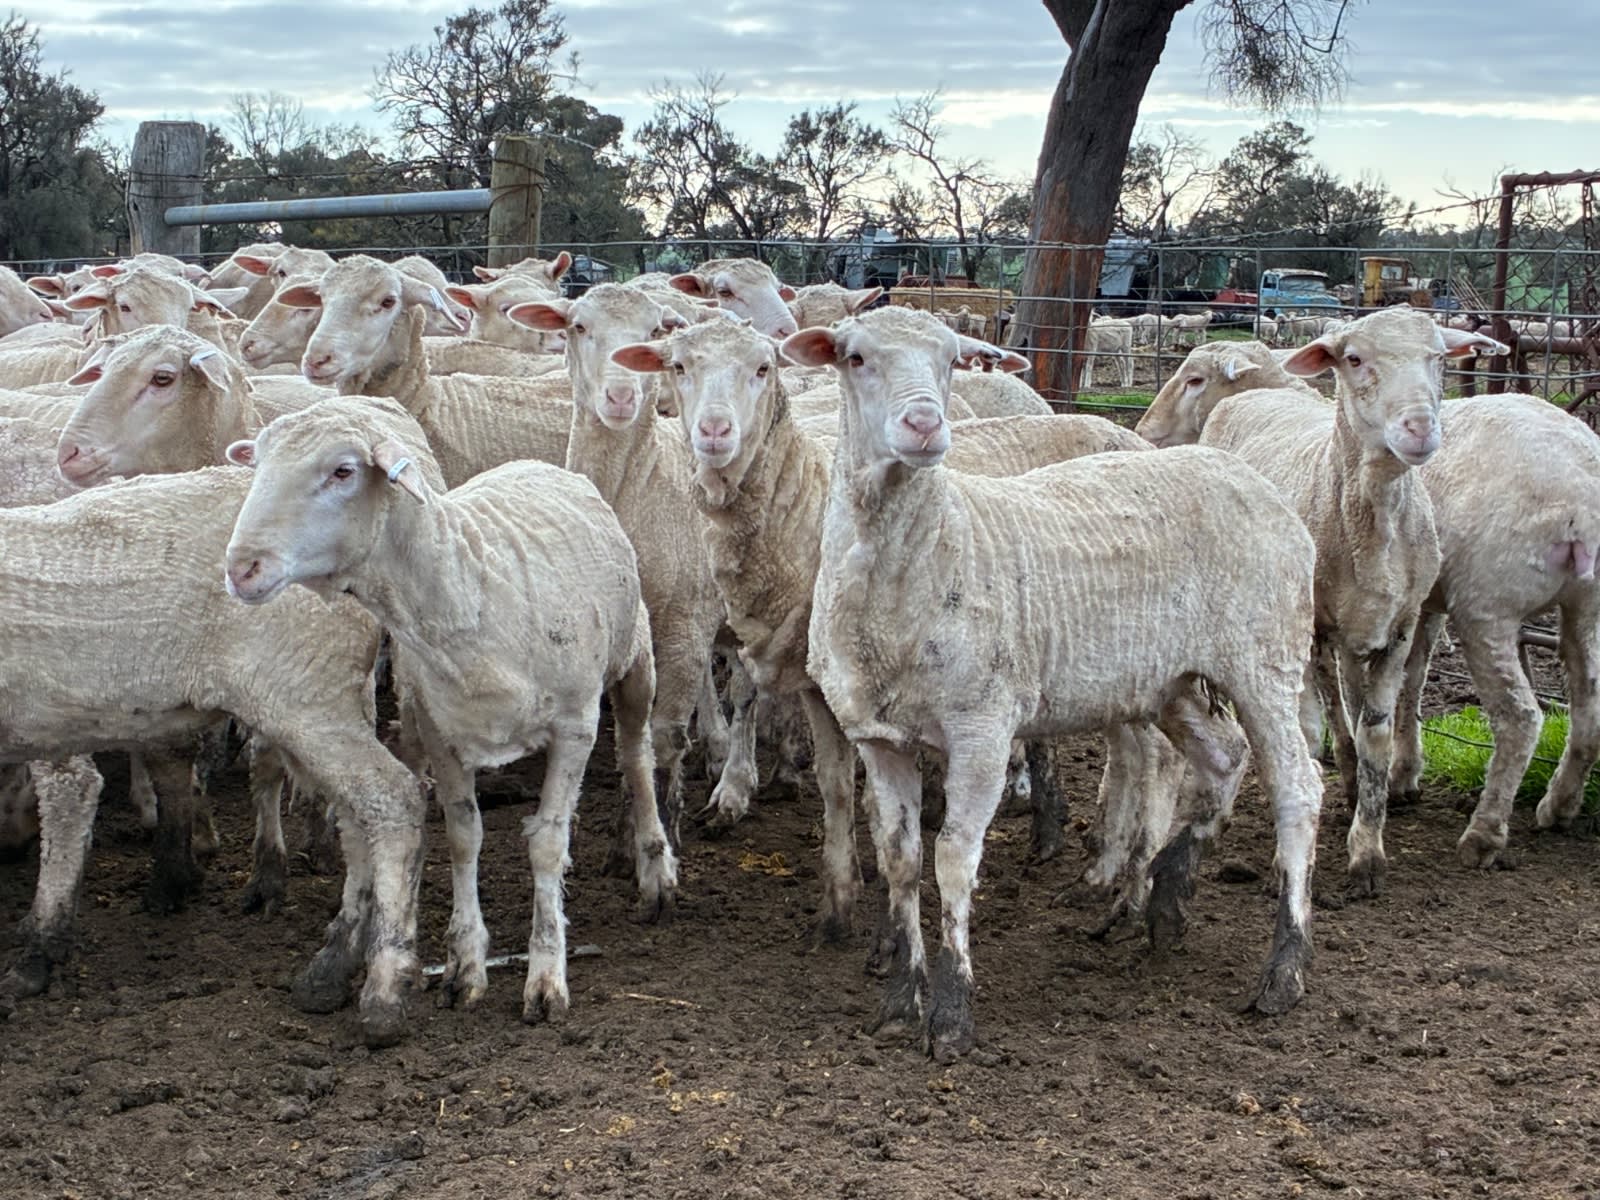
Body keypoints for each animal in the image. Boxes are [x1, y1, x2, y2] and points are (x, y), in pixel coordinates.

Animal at [0, 466, 428, 1045]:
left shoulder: (46, 716)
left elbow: (72, 792)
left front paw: (38, 953)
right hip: (317, 695)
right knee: (357, 816)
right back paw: (328, 970)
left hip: (304, 690)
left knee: (392, 801)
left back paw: (384, 992)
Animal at [223, 396, 676, 1022]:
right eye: (259, 463)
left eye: (343, 471)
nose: (241, 567)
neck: (472, 590)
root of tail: (540, 464)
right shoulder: (442, 733)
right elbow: (465, 835)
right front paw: (465, 964)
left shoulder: (574, 726)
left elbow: (545, 843)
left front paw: (545, 976)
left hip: (634, 661)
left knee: (636, 758)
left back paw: (655, 869)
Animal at [1199, 307, 1506, 895]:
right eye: (1355, 358)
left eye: (1439, 357)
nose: (1420, 428)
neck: (1372, 522)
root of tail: (1256, 393)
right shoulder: (1314, 627)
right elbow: (1320, 730)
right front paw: (1296, 850)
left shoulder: (1399, 627)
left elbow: (1374, 738)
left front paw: (1367, 850)